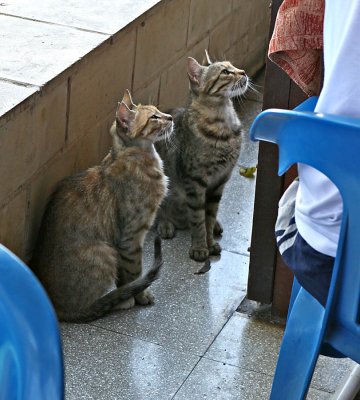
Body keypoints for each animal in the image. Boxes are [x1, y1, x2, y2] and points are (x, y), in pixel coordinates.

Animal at [30, 90, 174, 322]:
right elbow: (134, 271)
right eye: (154, 117)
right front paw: (140, 295)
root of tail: (57, 309)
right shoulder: (131, 236)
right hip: (104, 252)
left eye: (158, 111)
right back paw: (120, 301)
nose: (169, 117)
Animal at [155, 50, 248, 262]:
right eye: (225, 72)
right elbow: (198, 219)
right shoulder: (195, 181)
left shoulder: (221, 180)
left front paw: (210, 241)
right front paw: (199, 247)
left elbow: (209, 215)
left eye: (233, 66)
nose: (244, 72)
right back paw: (165, 224)